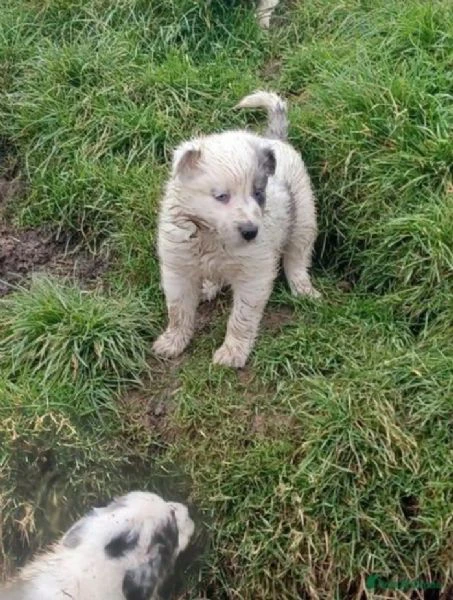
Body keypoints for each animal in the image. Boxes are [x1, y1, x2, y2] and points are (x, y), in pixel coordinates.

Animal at [154, 91, 320, 368]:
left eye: (258, 193)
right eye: (221, 196)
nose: (251, 232)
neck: (211, 236)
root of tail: (274, 139)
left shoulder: (254, 274)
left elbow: (242, 317)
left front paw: (232, 352)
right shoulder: (178, 267)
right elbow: (178, 311)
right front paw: (172, 341)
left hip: (304, 216)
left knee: (297, 258)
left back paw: (303, 289)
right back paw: (208, 286)